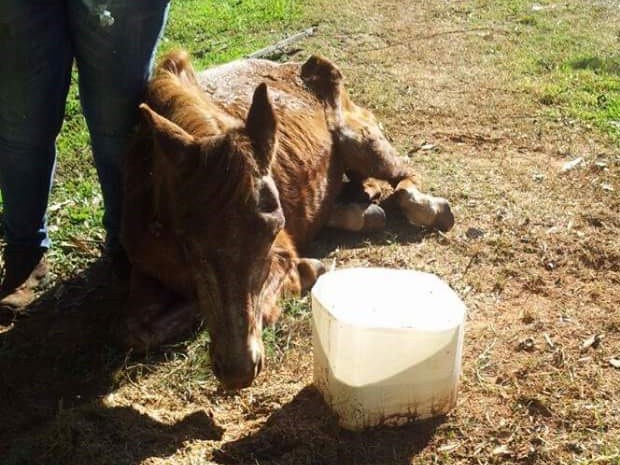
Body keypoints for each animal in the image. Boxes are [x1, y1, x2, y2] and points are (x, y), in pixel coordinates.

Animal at [121, 50, 452, 390]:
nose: (237, 370)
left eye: (272, 229)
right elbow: (137, 331)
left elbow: (265, 302)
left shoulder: (281, 252)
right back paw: (360, 212)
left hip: (362, 141)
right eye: (187, 240)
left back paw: (428, 208)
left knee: (405, 176)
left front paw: (307, 270)